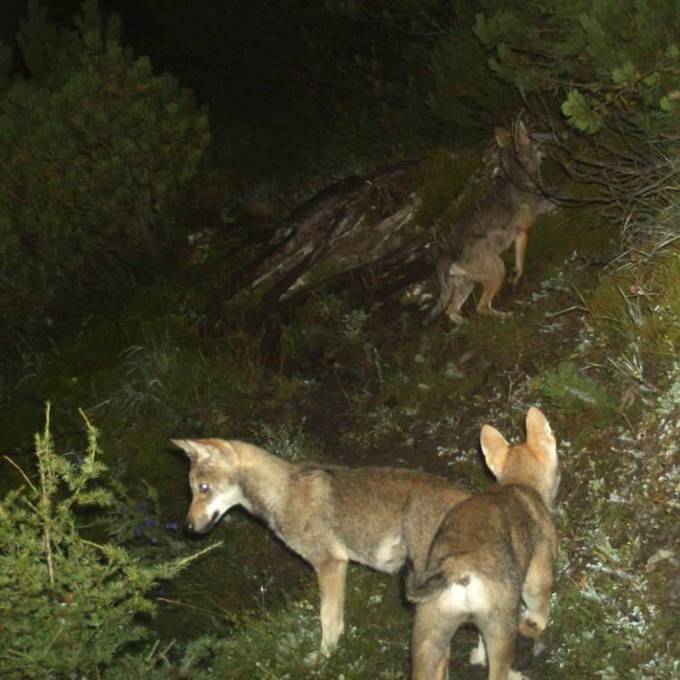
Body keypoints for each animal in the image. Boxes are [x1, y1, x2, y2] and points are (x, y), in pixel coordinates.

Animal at [171, 438, 468, 656]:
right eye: (192, 490)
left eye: (204, 488)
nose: (187, 528)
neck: (282, 494)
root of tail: (468, 496)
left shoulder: (330, 564)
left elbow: (328, 620)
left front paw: (325, 657)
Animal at [406, 410, 560, 680]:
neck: (518, 483)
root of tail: (457, 567)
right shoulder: (537, 573)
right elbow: (538, 608)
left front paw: (477, 657)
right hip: (501, 632)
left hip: (428, 637)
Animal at [428, 121, 544, 324]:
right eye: (531, 137)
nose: (542, 146)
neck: (519, 177)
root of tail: (446, 258)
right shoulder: (522, 231)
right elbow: (520, 265)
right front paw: (515, 282)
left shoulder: (519, 235)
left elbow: (519, 265)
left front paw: (514, 282)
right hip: (497, 270)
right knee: (481, 307)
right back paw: (506, 316)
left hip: (468, 285)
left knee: (451, 311)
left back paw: (465, 325)